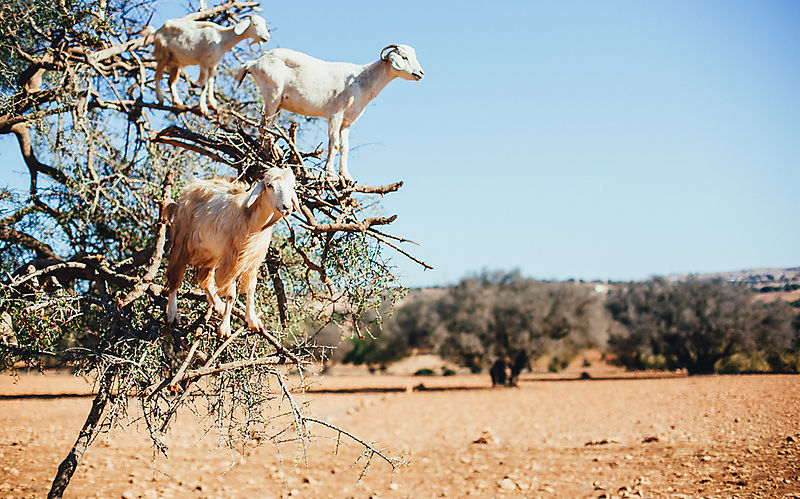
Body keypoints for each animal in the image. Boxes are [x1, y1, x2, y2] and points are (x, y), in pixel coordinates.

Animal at [166, 167, 299, 338]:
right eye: (269, 185)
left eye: (293, 186)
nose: (286, 207)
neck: (251, 221)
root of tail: (189, 189)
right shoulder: (232, 259)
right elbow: (231, 293)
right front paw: (224, 328)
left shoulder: (253, 260)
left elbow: (251, 288)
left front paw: (252, 320)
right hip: (182, 241)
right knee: (175, 277)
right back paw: (172, 314)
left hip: (212, 252)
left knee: (203, 278)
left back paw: (218, 304)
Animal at [235, 44, 424, 182]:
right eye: (404, 57)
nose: (420, 73)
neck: (361, 80)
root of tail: (254, 62)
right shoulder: (335, 115)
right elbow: (333, 144)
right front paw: (331, 175)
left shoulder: (347, 122)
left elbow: (345, 147)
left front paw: (346, 177)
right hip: (272, 95)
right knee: (263, 127)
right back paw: (269, 154)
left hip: (277, 103)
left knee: (266, 127)